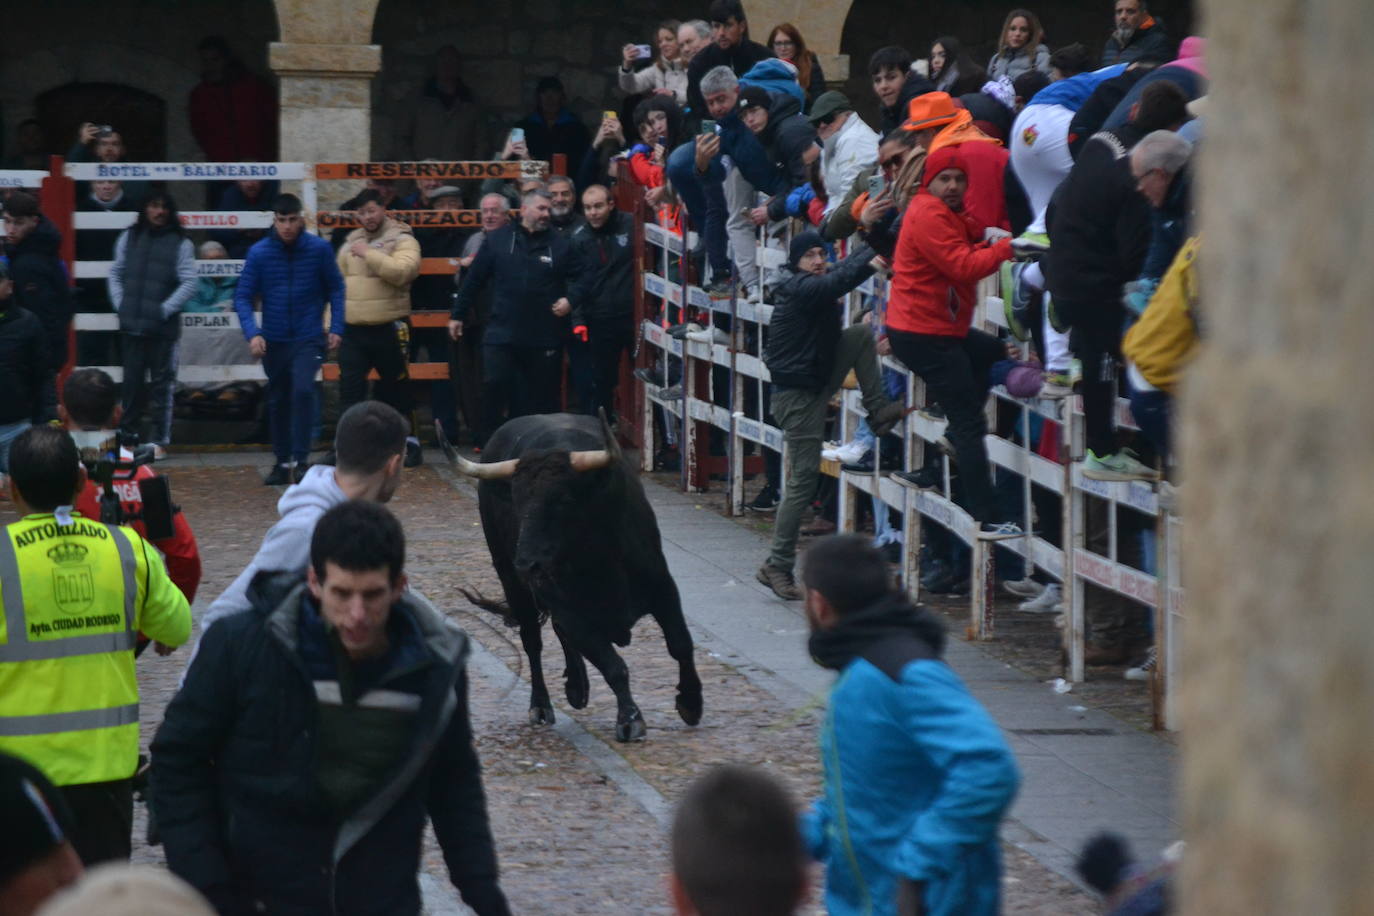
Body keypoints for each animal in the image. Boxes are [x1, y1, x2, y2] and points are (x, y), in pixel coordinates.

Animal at [439, 411, 703, 741]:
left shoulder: (663, 587)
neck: (599, 557)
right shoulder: (569, 610)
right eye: (516, 501)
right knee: (532, 641)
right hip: (512, 583)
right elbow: (613, 665)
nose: (525, 562)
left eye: (562, 499)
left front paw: (691, 702)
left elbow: (680, 643)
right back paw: (542, 704)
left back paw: (577, 687)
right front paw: (630, 718)